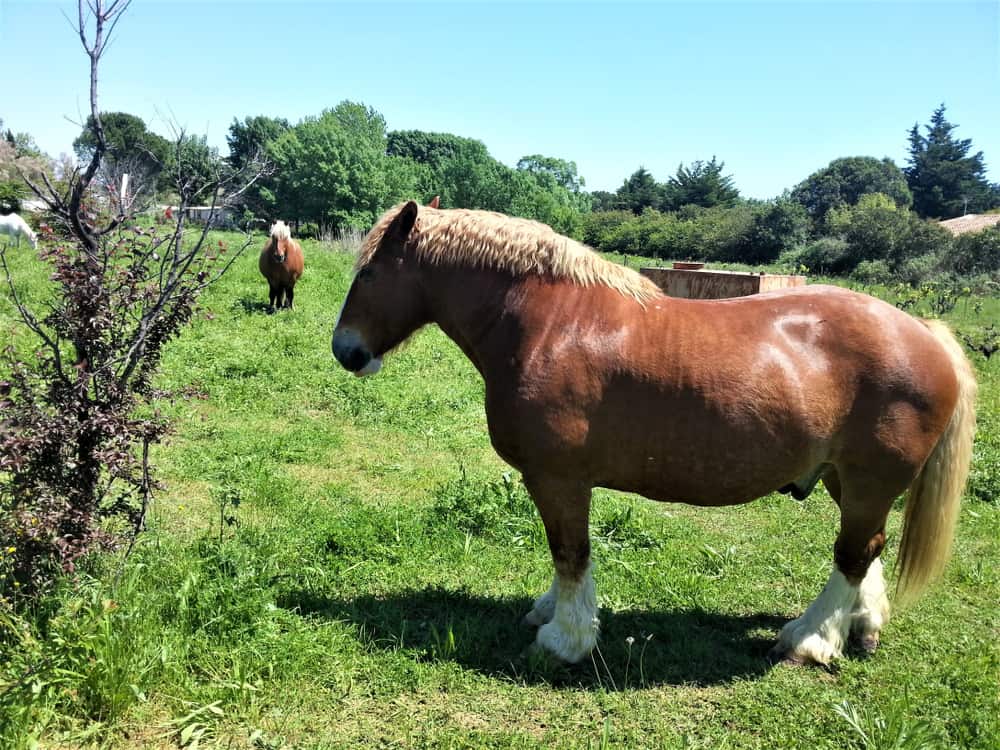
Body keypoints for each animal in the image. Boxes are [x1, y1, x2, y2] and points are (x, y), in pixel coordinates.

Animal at [331, 200, 977, 667]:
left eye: (369, 272)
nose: (346, 351)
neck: (550, 324)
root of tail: (922, 331)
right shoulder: (558, 481)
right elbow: (564, 556)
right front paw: (549, 613)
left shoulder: (558, 478)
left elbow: (570, 552)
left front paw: (566, 640)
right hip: (848, 481)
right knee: (869, 551)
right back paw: (861, 627)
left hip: (867, 481)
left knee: (852, 554)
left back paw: (811, 639)